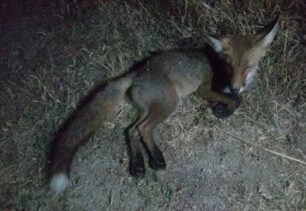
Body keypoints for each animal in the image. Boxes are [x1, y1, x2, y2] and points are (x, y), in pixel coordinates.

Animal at [47, 17, 278, 193]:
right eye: (229, 66)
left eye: (248, 66)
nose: (235, 86)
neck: (216, 66)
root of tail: (136, 74)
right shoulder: (204, 90)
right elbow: (236, 100)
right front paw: (225, 109)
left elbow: (233, 99)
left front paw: (223, 107)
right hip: (169, 104)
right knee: (143, 128)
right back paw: (157, 159)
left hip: (149, 108)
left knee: (130, 129)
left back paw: (138, 165)